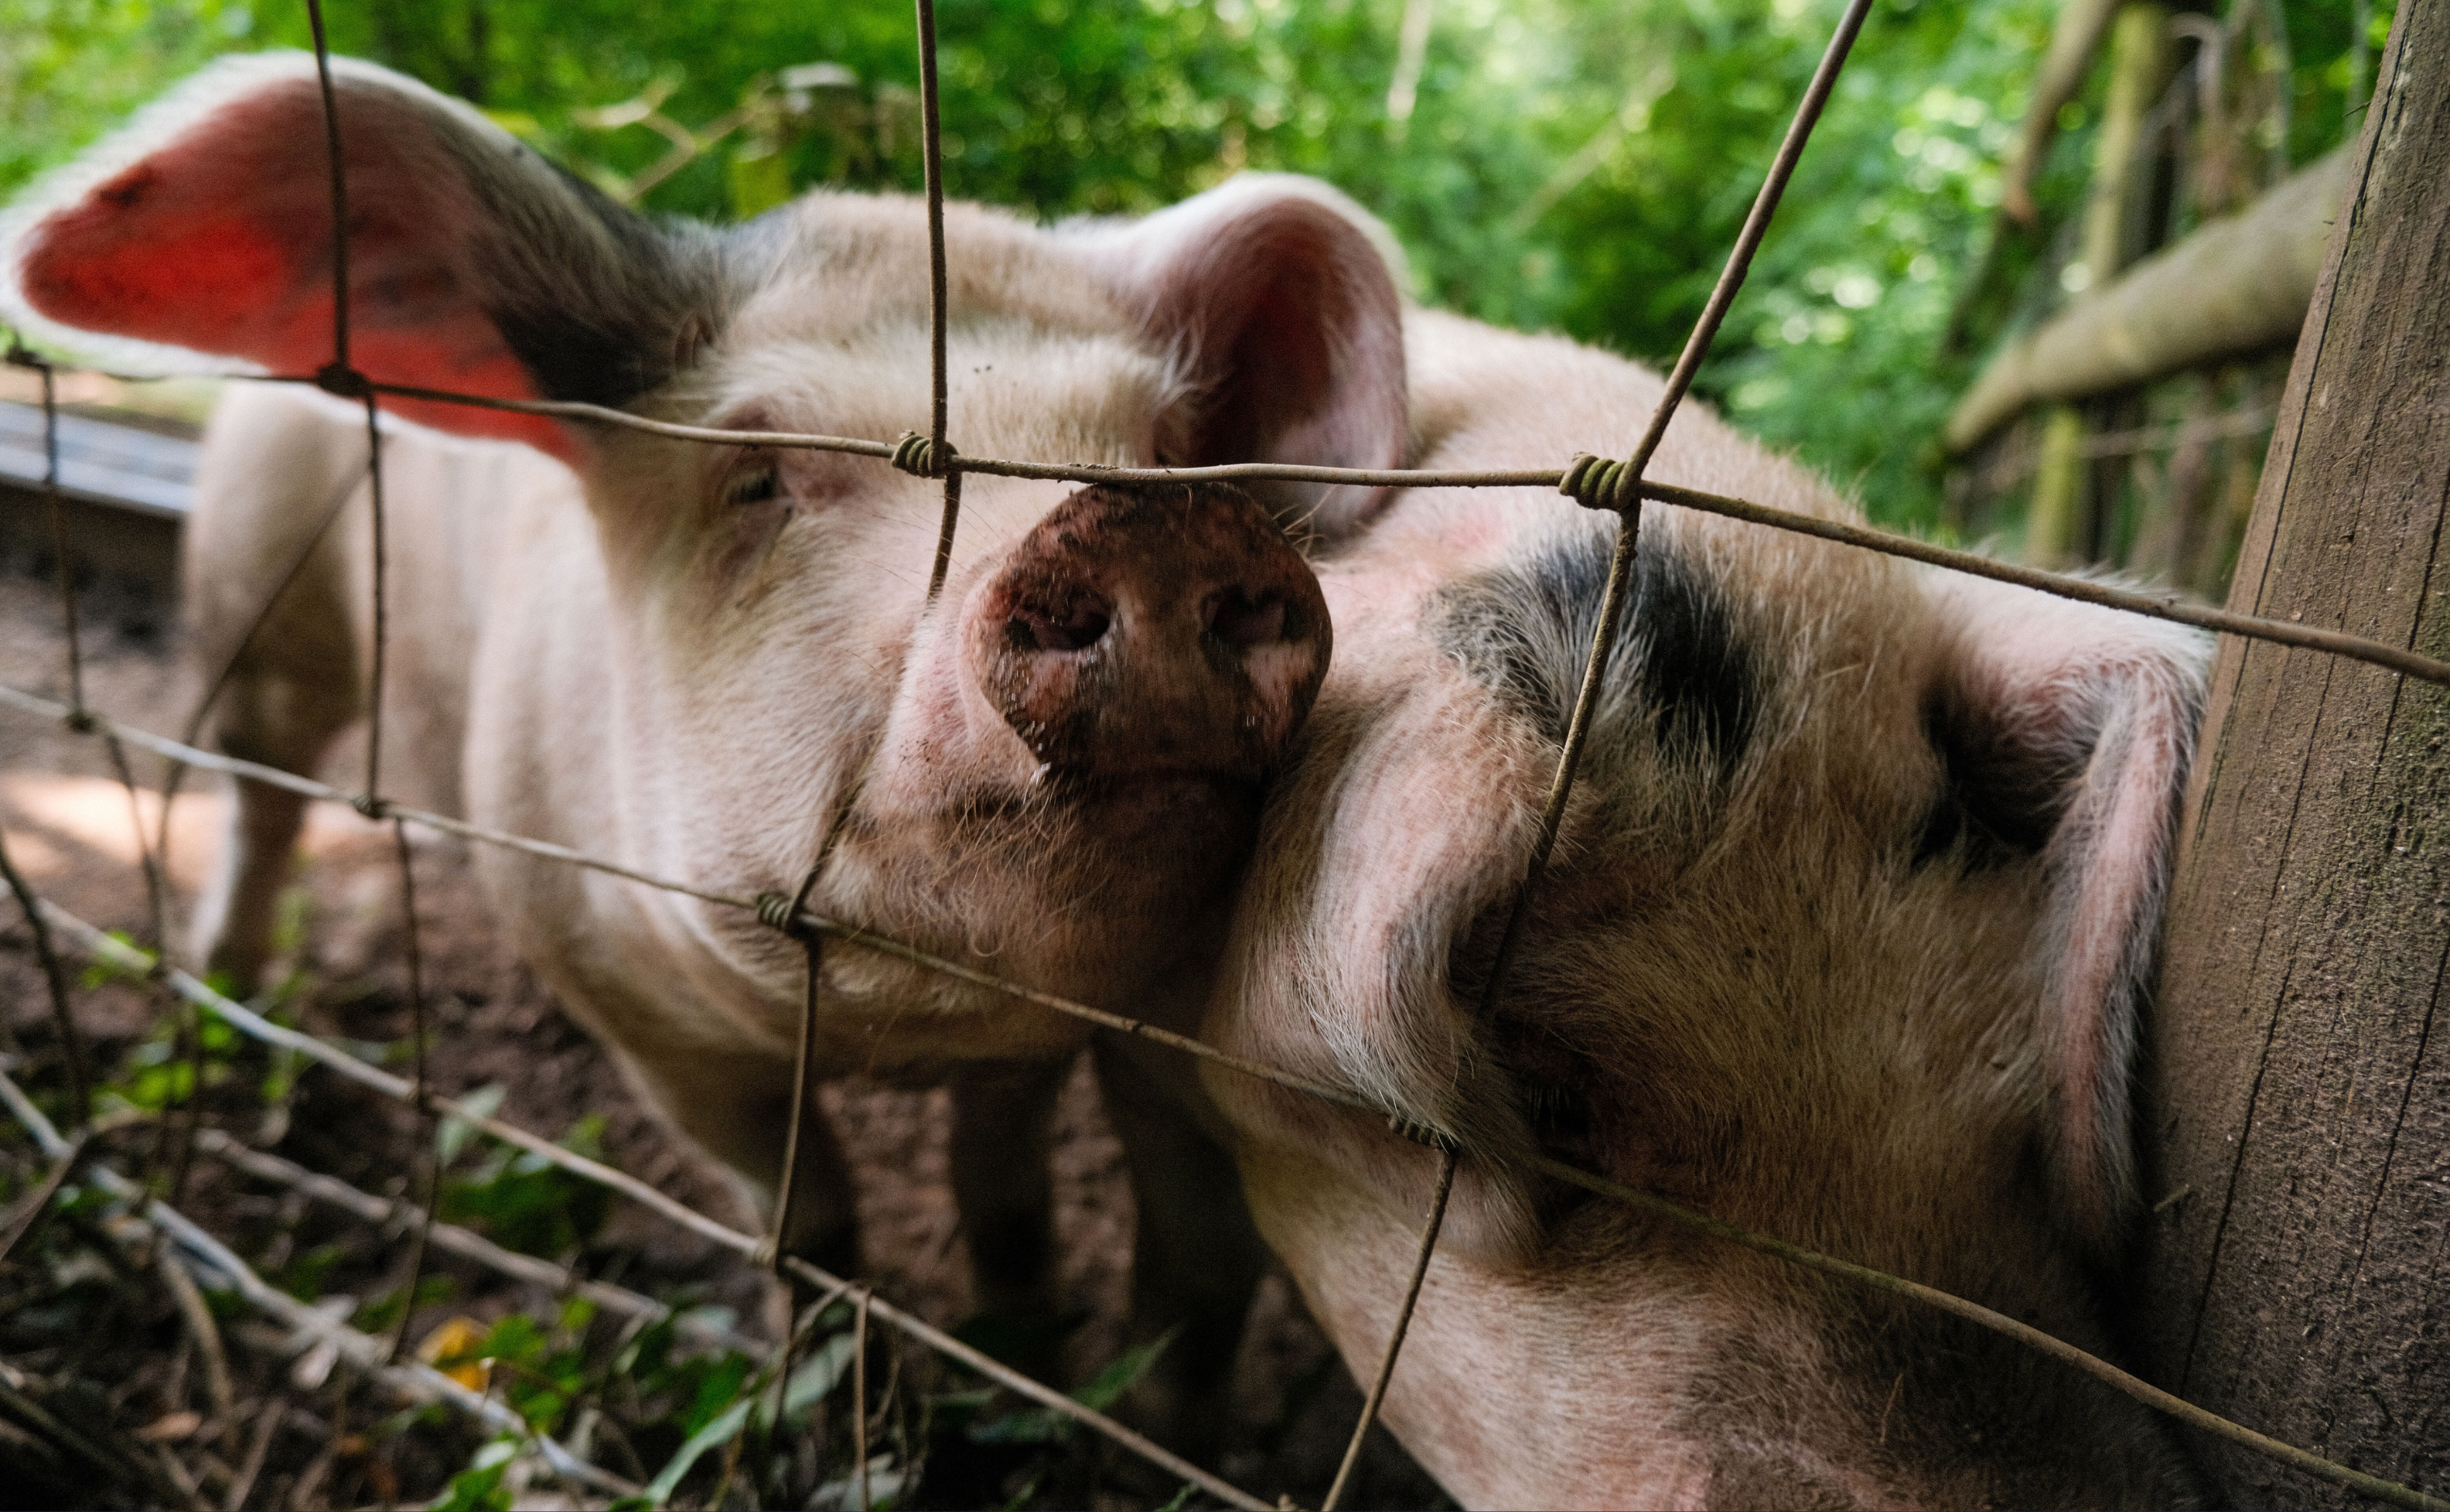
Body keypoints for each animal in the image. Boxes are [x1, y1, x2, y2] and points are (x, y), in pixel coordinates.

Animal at [0, 56, 1410, 1431]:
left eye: (1168, 450)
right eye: (759, 475)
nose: (1143, 523)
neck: (882, 1031)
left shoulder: (1028, 1043)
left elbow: (999, 1184)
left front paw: (1024, 1346)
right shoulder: (634, 1005)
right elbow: (806, 1214)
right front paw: (828, 1394)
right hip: (256, 591)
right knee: (261, 793)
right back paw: (227, 999)